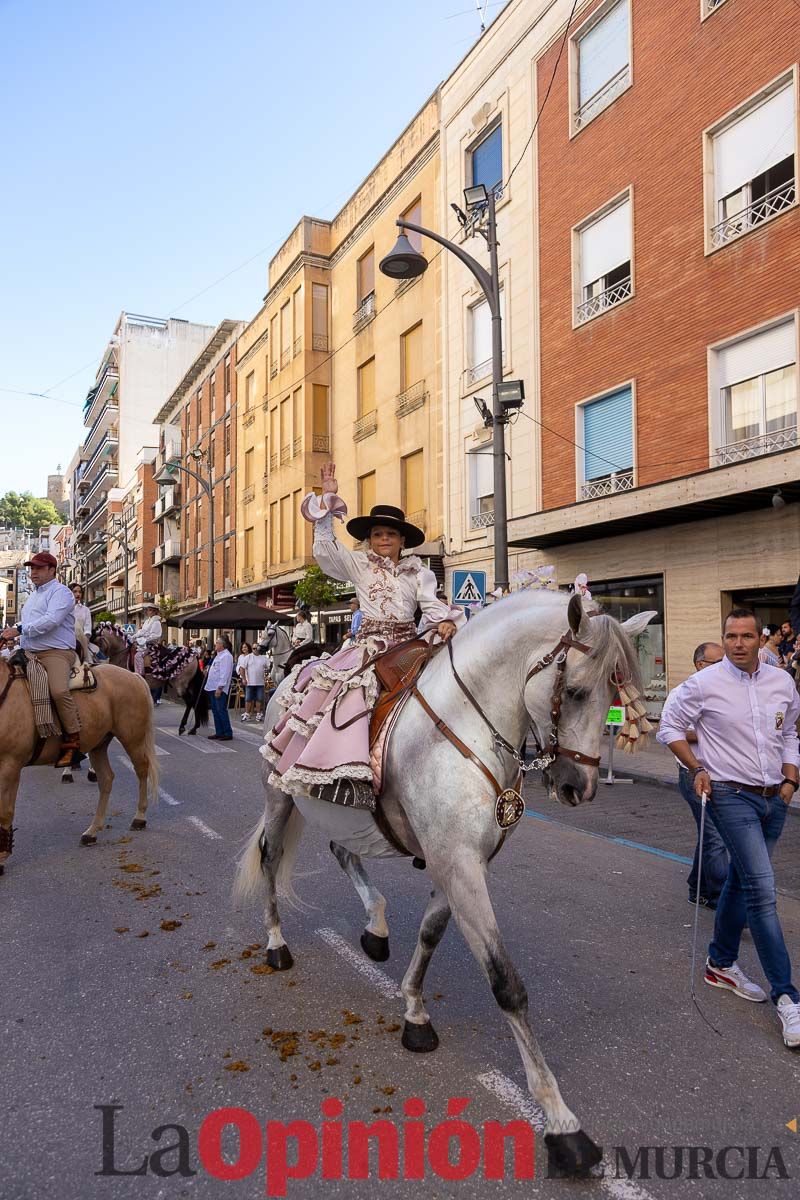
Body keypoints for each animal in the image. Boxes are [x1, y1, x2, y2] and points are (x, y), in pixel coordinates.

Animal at [0, 662, 160, 878]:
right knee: (106, 779)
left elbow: (5, 811)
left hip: (132, 738)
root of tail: (133, 675)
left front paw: (2, 857)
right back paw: (92, 832)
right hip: (99, 744)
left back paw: (139, 818)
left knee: (141, 770)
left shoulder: (10, 766)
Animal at [235, 585, 652, 1176]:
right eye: (573, 691)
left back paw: (376, 927)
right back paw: (276, 943)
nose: (579, 786)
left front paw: (413, 1010)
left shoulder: (459, 862)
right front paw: (561, 1121)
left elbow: (431, 934)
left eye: (614, 694)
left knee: (341, 851)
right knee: (271, 859)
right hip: (279, 797)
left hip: (345, 815)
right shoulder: (458, 863)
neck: (467, 726)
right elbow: (507, 984)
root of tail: (291, 675)